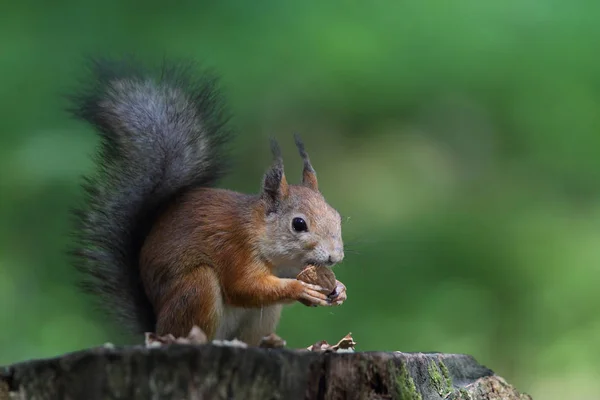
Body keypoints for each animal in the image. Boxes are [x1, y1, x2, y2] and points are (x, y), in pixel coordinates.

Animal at [68, 57, 346, 346]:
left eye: (337, 216)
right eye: (298, 224)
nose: (335, 257)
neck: (262, 234)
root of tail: (156, 329)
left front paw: (339, 288)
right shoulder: (234, 248)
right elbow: (244, 287)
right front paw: (300, 289)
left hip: (262, 317)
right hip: (196, 289)